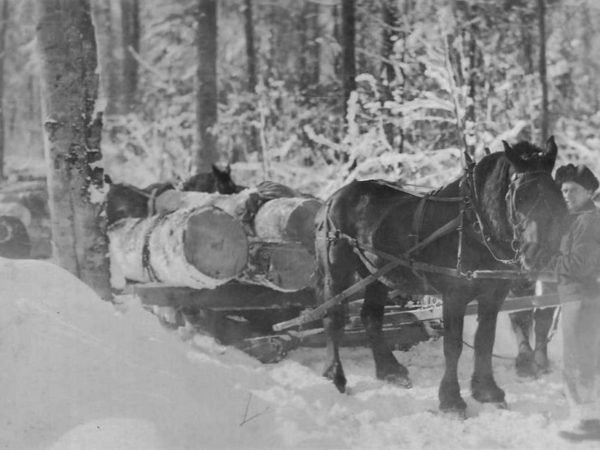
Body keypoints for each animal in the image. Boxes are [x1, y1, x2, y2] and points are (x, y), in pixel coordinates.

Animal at [314, 138, 568, 414]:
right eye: (520, 197)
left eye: (556, 196)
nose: (540, 255)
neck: (474, 224)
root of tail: (334, 198)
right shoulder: (454, 296)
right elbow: (453, 346)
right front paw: (452, 401)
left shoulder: (494, 294)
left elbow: (484, 340)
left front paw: (487, 391)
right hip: (337, 273)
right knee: (333, 318)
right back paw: (336, 374)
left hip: (376, 274)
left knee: (370, 316)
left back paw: (390, 371)